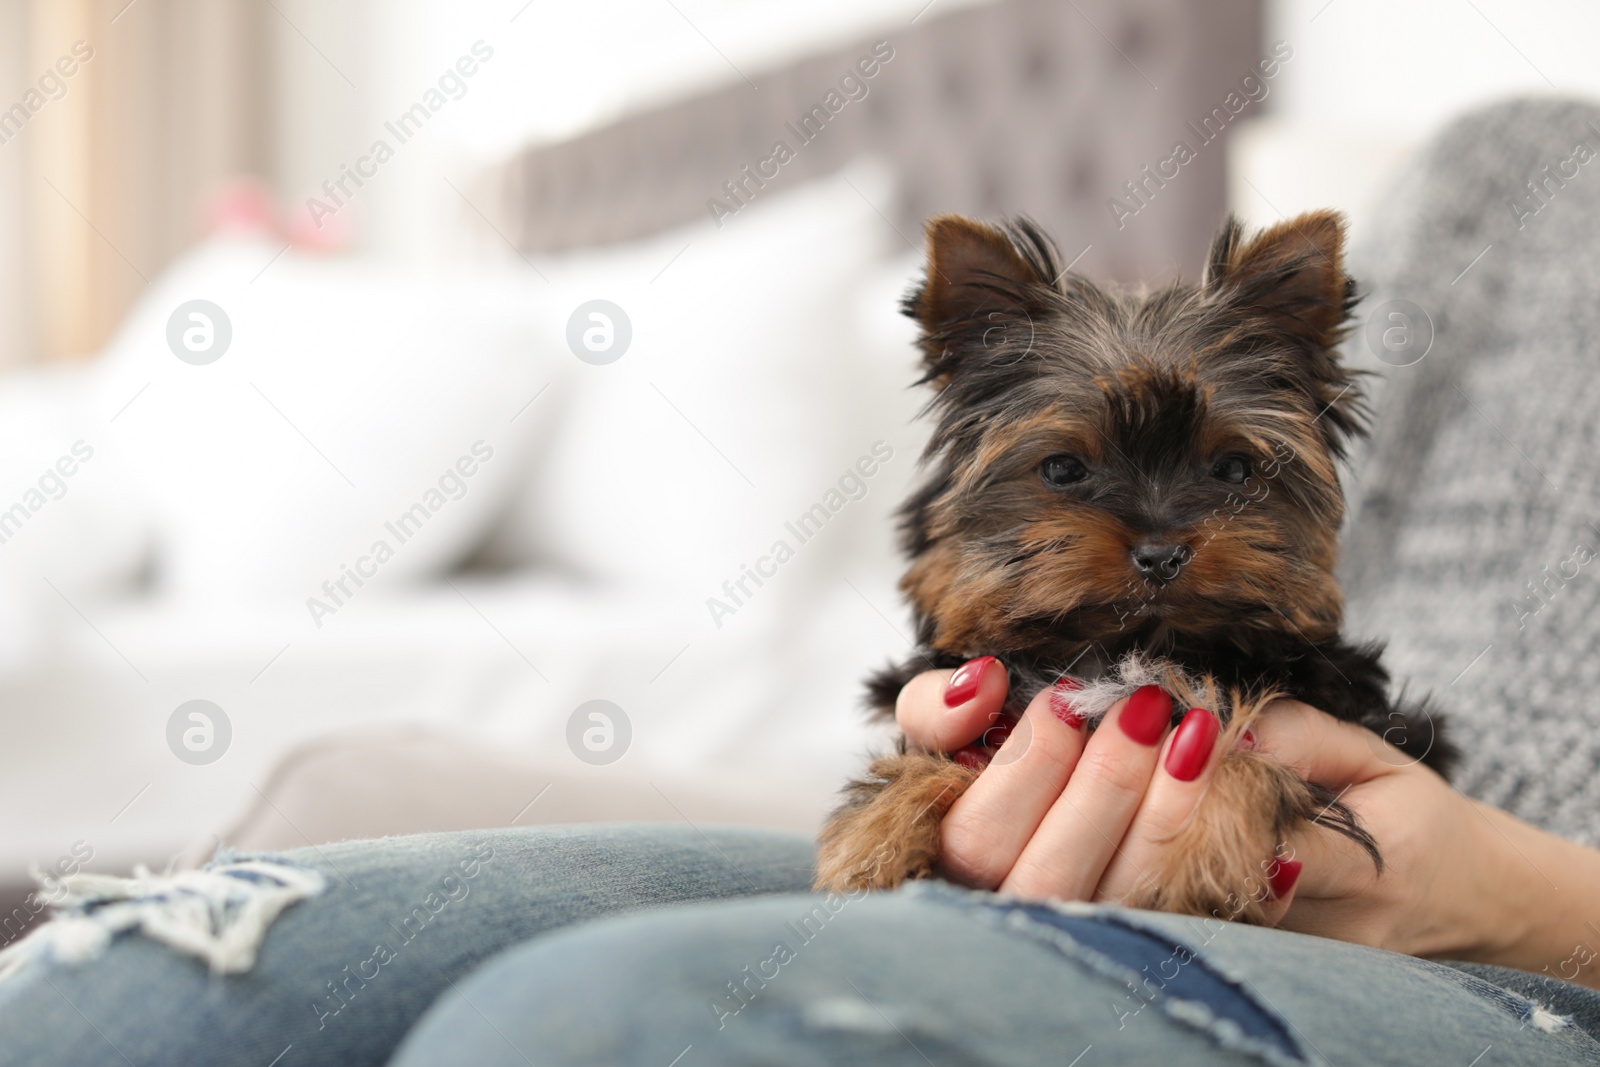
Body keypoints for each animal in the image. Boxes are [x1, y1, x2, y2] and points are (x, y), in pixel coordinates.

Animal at [819, 211, 1459, 927]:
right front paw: (876, 834)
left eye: (1233, 468)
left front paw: (1206, 859)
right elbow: (950, 753)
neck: (1135, 648)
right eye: (1063, 469)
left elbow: (1237, 754)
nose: (1160, 554)